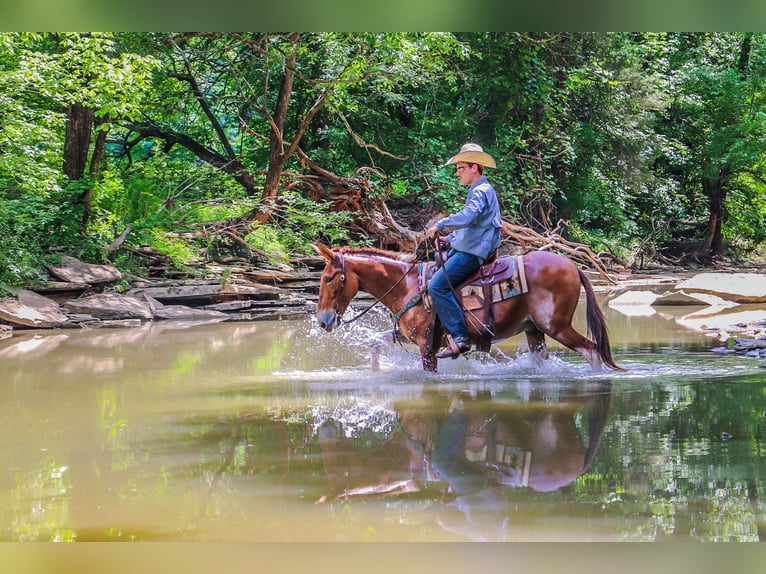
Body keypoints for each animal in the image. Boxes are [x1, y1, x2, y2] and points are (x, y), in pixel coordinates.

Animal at [312, 243, 622, 373]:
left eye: (328, 278)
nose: (324, 321)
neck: (407, 287)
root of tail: (573, 266)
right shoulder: (405, 337)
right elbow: (376, 343)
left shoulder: (427, 347)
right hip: (535, 330)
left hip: (557, 326)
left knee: (592, 351)